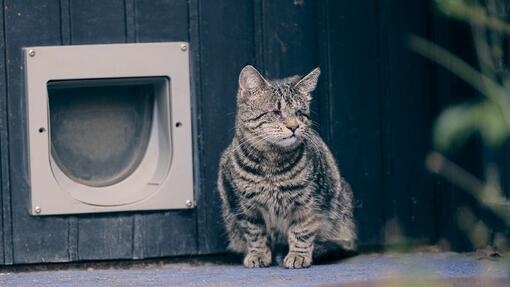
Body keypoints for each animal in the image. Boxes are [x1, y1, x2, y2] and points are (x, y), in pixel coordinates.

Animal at [217, 64, 356, 268]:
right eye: (276, 112)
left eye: (299, 113)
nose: (294, 126)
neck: (271, 163)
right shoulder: (244, 207)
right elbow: (254, 233)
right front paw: (258, 254)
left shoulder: (308, 203)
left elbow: (301, 231)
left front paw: (298, 255)